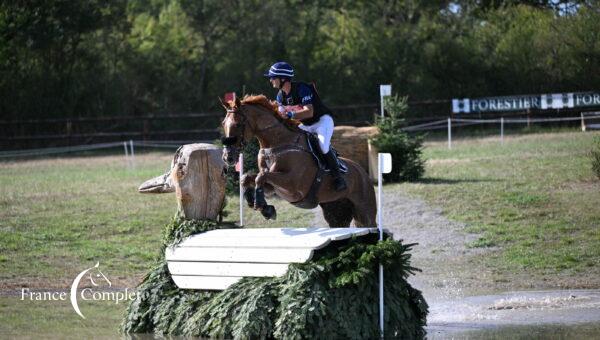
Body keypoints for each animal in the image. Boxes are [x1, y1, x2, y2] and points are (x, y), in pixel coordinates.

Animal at [220, 94, 376, 227]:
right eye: (223, 123)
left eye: (238, 124)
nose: (228, 157)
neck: (276, 144)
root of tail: (363, 172)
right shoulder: (273, 186)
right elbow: (248, 178)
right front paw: (262, 206)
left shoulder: (294, 185)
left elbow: (261, 177)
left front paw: (262, 206)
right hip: (336, 211)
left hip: (365, 211)